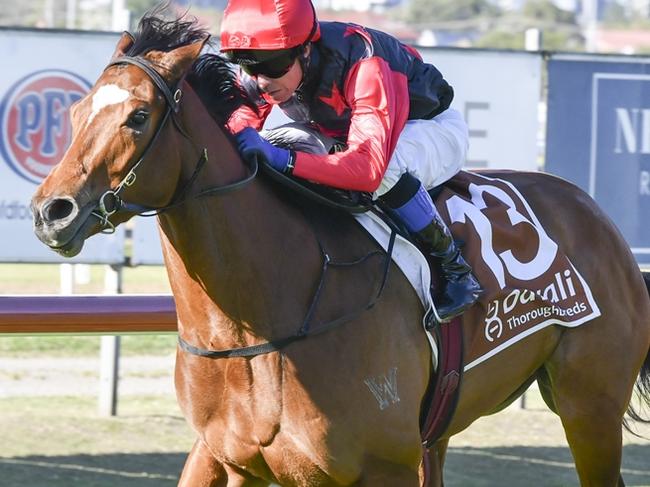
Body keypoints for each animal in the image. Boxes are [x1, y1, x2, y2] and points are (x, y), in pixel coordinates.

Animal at [30, 11, 648, 487]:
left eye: (137, 117)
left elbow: (373, 162)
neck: (256, 324)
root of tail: (597, 216)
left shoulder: (382, 465)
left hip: (589, 408)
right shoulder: (221, 456)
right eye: (76, 112)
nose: (50, 212)